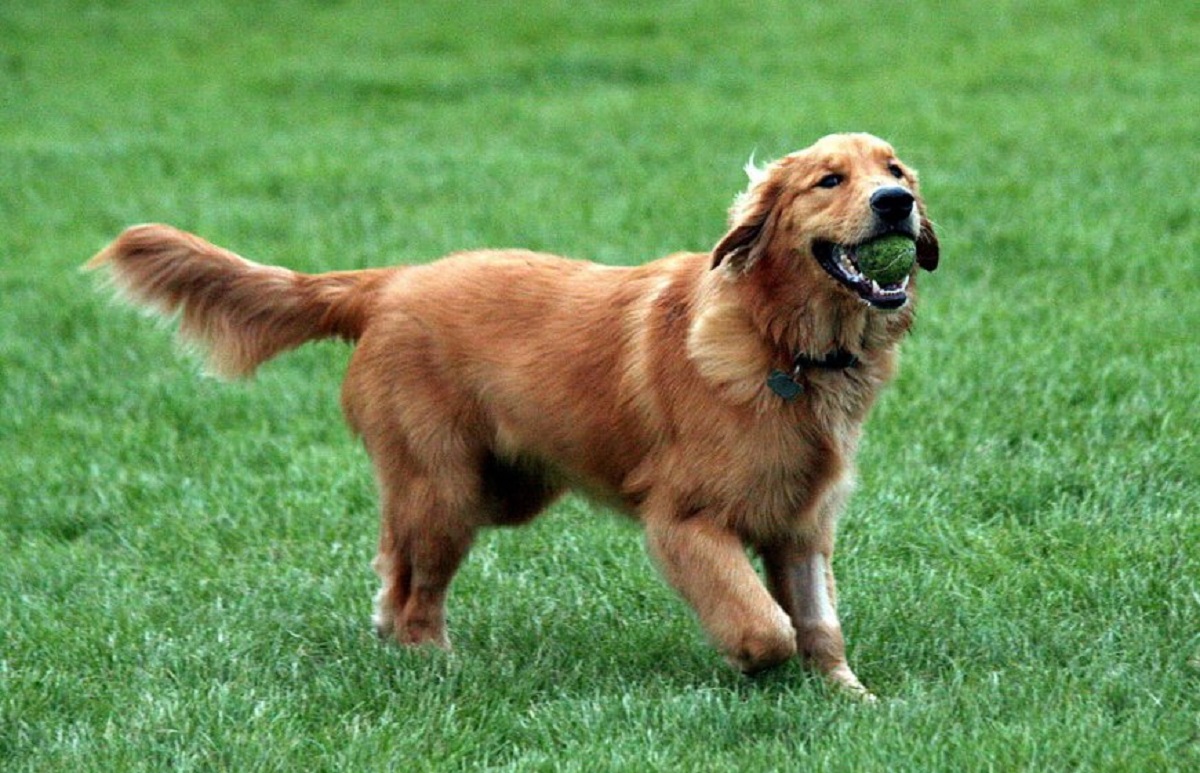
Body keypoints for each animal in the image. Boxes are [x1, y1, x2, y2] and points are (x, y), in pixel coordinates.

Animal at [91, 134, 936, 700]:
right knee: (416, 589)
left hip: (504, 489)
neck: (785, 344)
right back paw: (434, 660)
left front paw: (849, 697)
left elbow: (819, 624)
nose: (896, 203)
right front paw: (750, 661)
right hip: (447, 487)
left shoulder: (802, 525)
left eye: (894, 171)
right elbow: (763, 623)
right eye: (830, 179)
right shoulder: (683, 520)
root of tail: (388, 282)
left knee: (392, 562)